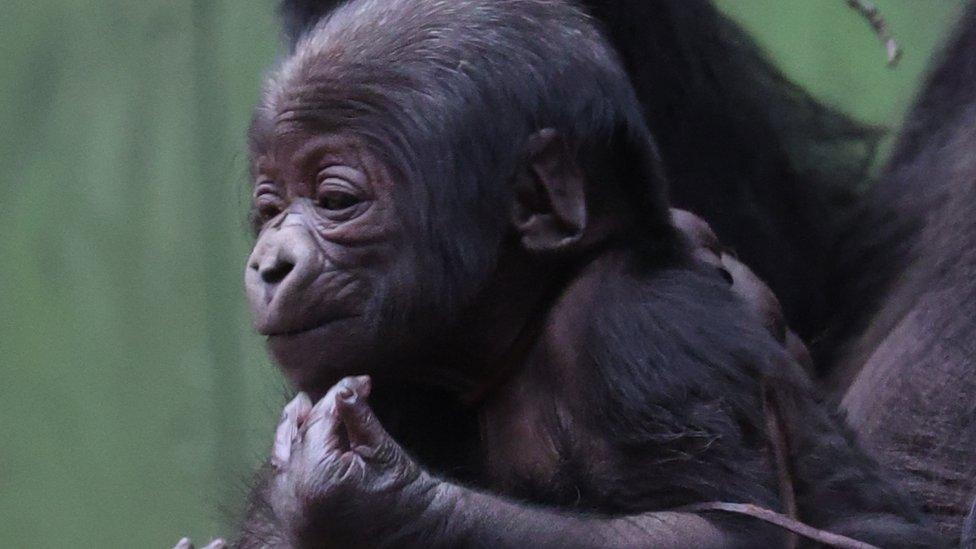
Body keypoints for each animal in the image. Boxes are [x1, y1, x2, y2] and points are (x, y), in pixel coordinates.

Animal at [212, 0, 944, 544]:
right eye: (270, 208)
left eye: (336, 200)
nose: (270, 263)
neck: (526, 322)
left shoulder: (638, 333)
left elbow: (723, 527)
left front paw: (364, 496)